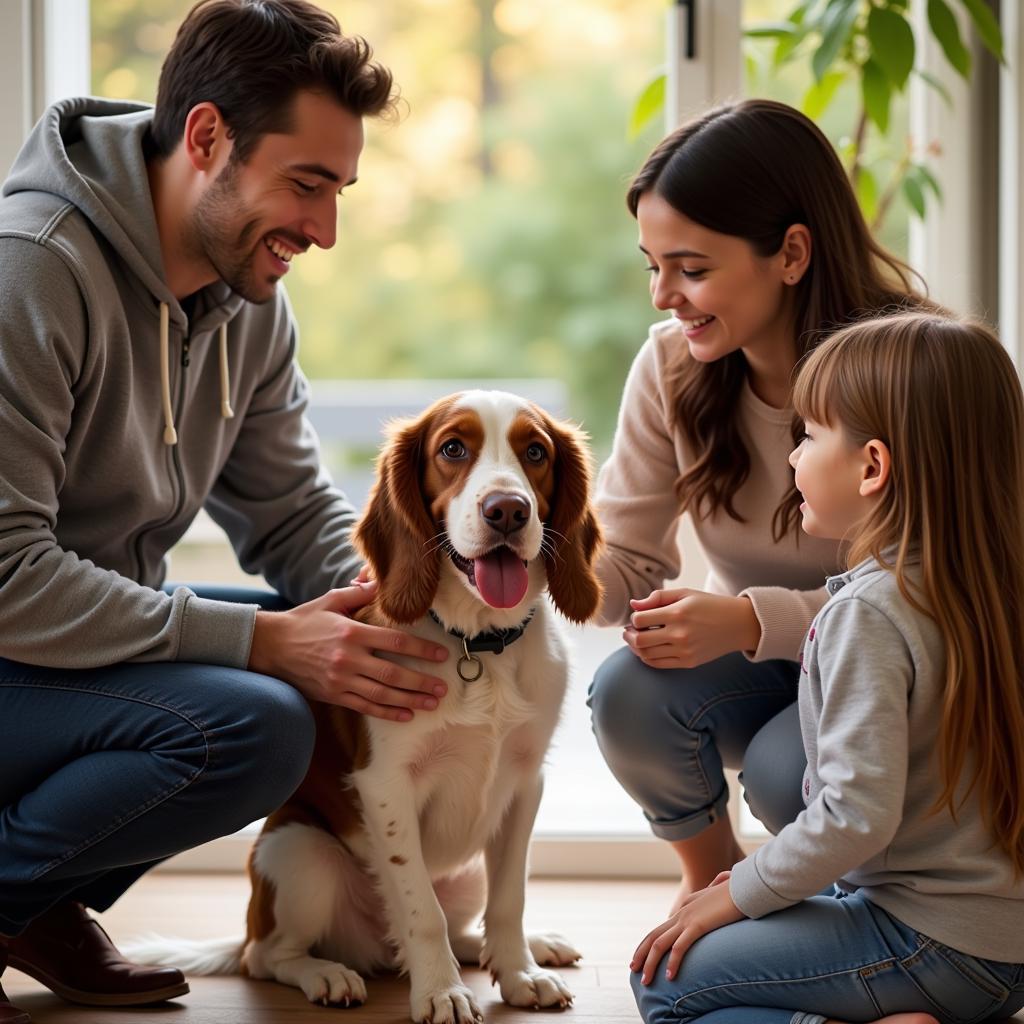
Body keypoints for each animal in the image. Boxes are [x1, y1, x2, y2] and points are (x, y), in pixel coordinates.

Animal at [135, 391, 598, 1024]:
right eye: (453, 449)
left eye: (536, 453)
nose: (507, 511)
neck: (476, 642)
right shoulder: (386, 783)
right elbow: (421, 909)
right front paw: (441, 992)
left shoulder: (526, 782)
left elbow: (510, 897)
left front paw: (519, 972)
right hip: (300, 854)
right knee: (268, 956)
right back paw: (327, 974)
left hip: (463, 876)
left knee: (464, 927)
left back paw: (527, 947)